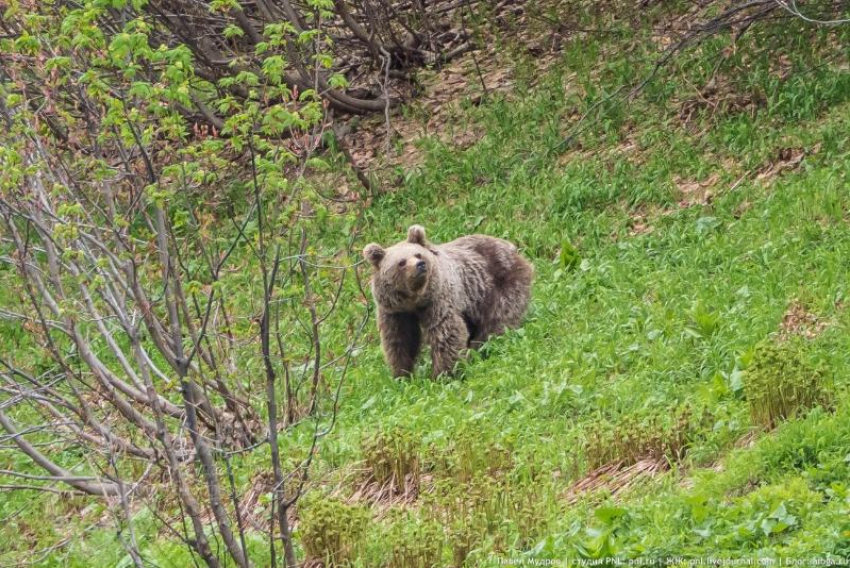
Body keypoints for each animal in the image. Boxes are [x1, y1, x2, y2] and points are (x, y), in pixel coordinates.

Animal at [362, 225, 528, 378]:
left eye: (418, 254)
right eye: (401, 262)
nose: (420, 265)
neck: (415, 301)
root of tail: (510, 245)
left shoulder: (438, 300)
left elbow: (445, 333)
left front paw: (442, 374)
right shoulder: (394, 311)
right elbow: (400, 340)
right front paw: (402, 374)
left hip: (501, 283)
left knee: (498, 319)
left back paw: (481, 348)